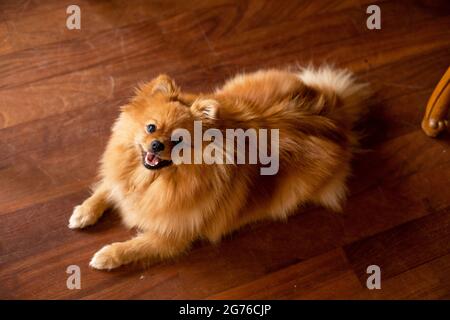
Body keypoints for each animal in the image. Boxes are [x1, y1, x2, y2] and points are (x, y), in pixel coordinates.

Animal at [68, 65, 368, 270]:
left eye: (178, 141)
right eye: (151, 128)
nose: (155, 145)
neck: (154, 180)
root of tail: (333, 115)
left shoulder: (172, 235)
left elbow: (136, 246)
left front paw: (107, 255)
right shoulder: (122, 180)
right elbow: (106, 189)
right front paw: (84, 212)